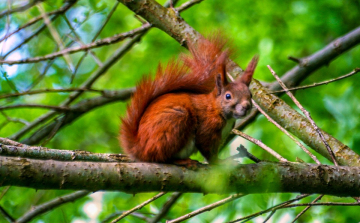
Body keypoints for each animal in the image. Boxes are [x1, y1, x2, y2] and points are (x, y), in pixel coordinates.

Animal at [119, 35, 258, 166]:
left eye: (250, 95)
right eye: (228, 96)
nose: (246, 106)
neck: (216, 109)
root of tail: (139, 148)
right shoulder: (207, 127)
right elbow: (207, 149)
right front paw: (220, 162)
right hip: (175, 121)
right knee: (161, 157)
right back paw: (182, 161)